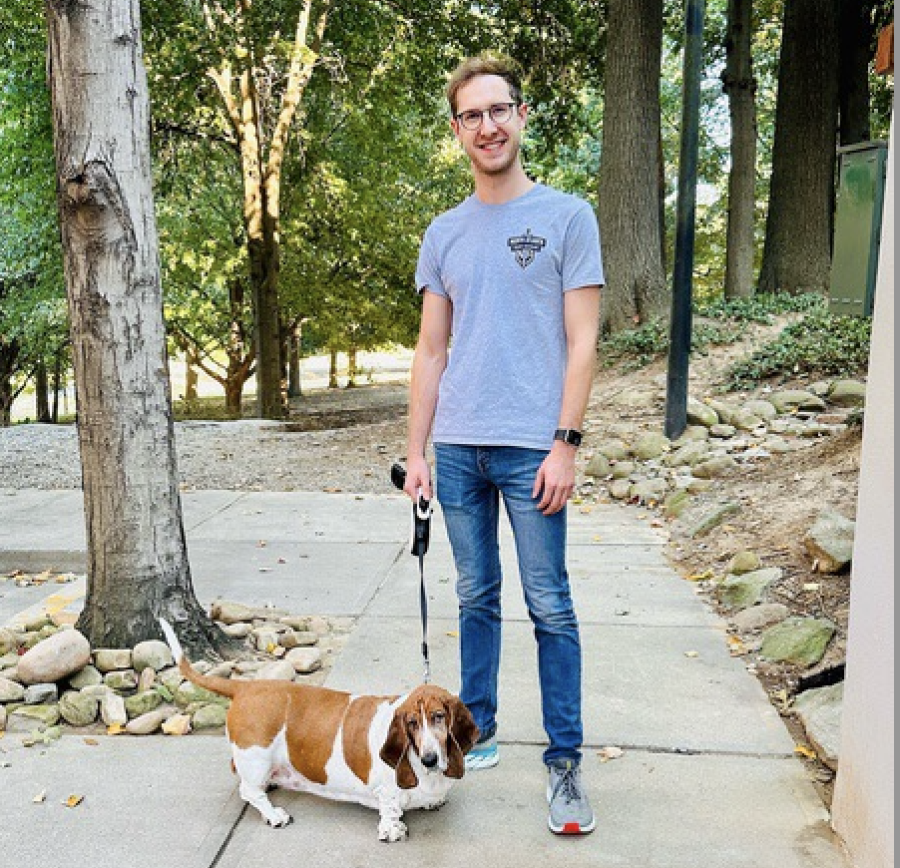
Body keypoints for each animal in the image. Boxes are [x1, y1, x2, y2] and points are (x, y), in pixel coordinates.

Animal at [156, 616, 478, 840]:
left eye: (439, 716)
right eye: (412, 723)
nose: (429, 759)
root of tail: (244, 687)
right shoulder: (385, 788)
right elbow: (390, 807)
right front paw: (392, 829)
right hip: (256, 757)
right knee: (248, 790)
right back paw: (274, 814)